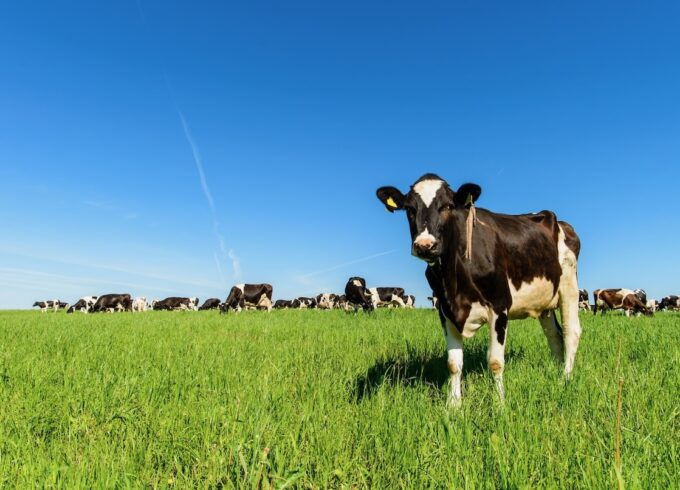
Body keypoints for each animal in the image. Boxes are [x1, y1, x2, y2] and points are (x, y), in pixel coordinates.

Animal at [374, 173, 580, 406]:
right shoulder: (445, 310)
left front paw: (500, 404)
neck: (453, 280)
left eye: (447, 206)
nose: (425, 245)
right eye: (410, 208)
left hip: (569, 286)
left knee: (571, 332)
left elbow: (496, 362)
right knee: (554, 336)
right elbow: (453, 363)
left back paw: (564, 378)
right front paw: (453, 405)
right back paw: (556, 372)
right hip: (545, 302)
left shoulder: (499, 305)